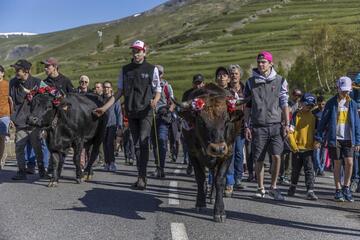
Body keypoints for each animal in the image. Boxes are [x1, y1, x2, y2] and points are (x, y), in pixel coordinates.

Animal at [175, 83, 246, 222]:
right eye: (201, 122)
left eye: (226, 121)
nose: (217, 148)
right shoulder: (193, 153)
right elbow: (200, 177)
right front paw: (200, 203)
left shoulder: (228, 153)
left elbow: (220, 180)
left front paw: (219, 211)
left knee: (214, 175)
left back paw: (212, 196)